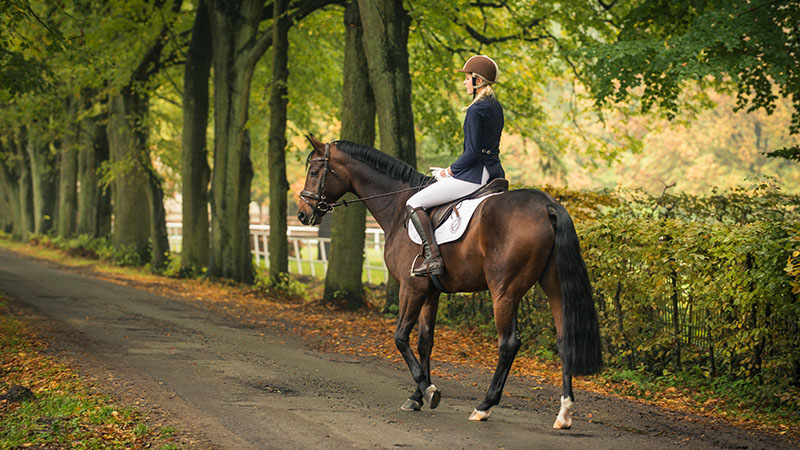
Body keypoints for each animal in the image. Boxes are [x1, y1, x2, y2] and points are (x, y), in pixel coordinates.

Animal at [296, 136, 600, 428]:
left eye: (314, 171)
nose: (302, 214)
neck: (397, 206)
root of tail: (547, 204)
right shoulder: (430, 292)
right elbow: (424, 341)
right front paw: (417, 395)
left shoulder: (411, 288)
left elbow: (400, 337)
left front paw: (429, 390)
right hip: (554, 287)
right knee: (564, 340)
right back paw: (564, 412)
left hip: (504, 291)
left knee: (508, 343)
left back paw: (484, 406)